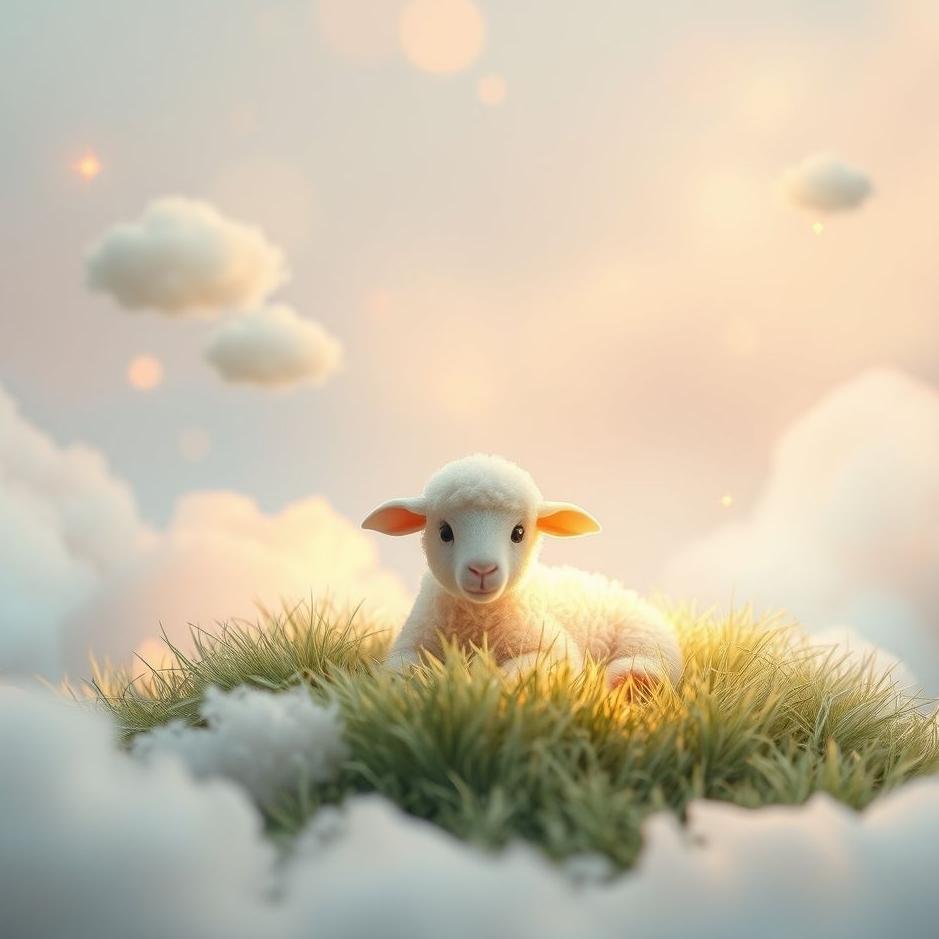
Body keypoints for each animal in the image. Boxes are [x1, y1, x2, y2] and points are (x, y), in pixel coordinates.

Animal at [361, 454, 682, 689]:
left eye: (518, 532)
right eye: (444, 532)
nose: (482, 569)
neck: (477, 619)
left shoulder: (554, 645)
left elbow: (529, 666)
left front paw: (495, 680)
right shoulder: (413, 640)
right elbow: (402, 668)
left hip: (644, 636)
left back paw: (632, 684)